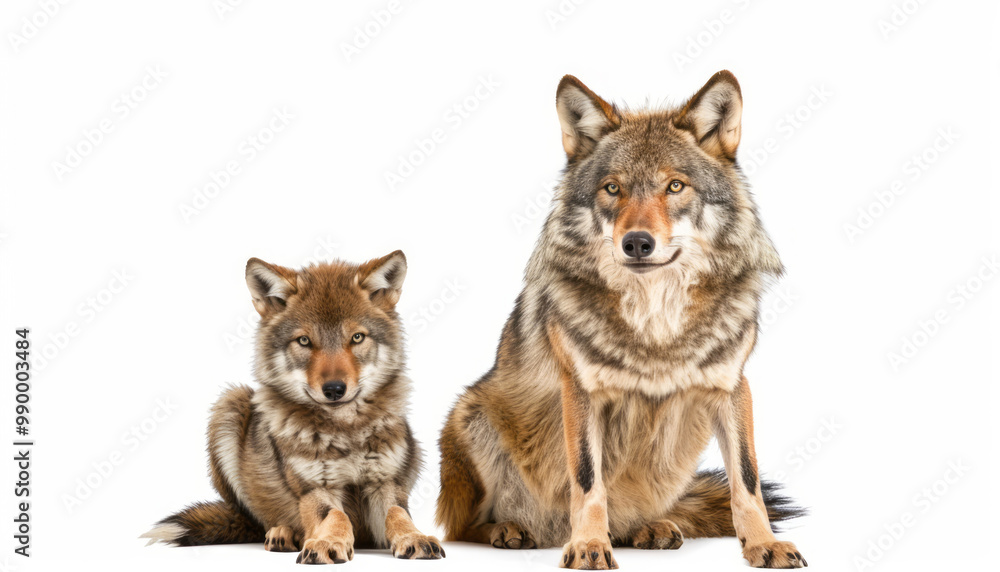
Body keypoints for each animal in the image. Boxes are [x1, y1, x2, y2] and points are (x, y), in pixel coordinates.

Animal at [142, 251, 445, 564]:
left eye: (357, 337)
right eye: (304, 341)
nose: (334, 389)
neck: (345, 431)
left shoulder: (385, 483)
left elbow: (398, 513)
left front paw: (415, 537)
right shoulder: (314, 487)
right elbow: (334, 515)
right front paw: (327, 542)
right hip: (231, 403)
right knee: (260, 522)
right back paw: (282, 535)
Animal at [435, 71, 806, 569]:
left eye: (675, 186)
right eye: (613, 189)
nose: (637, 243)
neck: (655, 318)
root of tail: (548, 528)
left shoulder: (732, 387)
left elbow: (746, 481)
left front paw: (763, 545)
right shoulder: (580, 391)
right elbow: (588, 481)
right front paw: (590, 545)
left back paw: (649, 528)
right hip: (471, 416)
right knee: (462, 527)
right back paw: (510, 530)